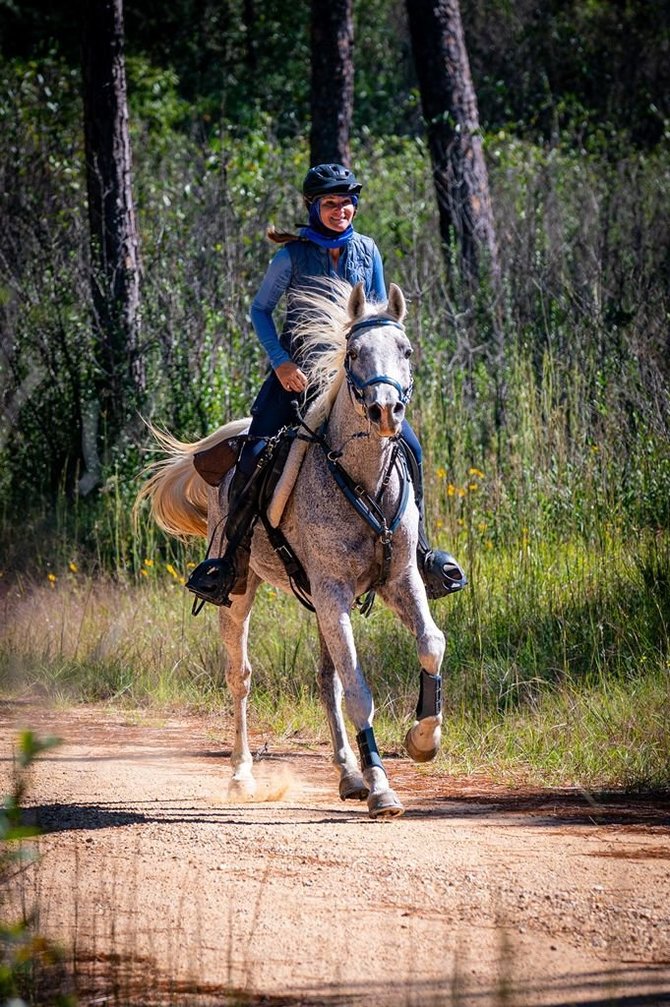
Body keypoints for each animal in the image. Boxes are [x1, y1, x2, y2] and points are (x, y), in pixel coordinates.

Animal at [137, 279, 443, 813]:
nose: (387, 411)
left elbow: (430, 645)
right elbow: (359, 690)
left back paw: (348, 774)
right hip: (241, 594)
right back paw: (242, 777)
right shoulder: (332, 591)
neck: (363, 481)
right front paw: (382, 787)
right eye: (353, 353)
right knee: (240, 677)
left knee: (326, 679)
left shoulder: (399, 580)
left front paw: (423, 740)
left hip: (320, 605)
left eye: (406, 350)